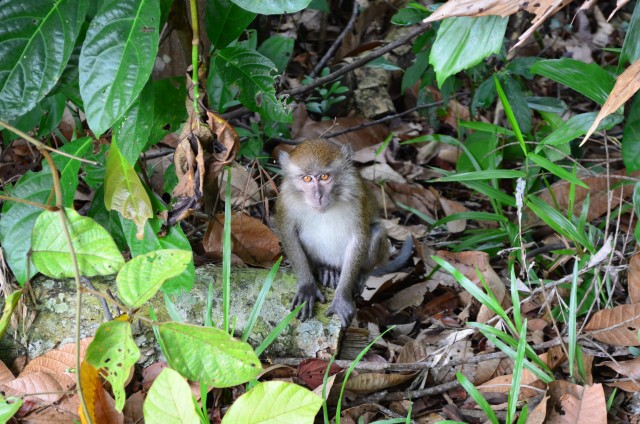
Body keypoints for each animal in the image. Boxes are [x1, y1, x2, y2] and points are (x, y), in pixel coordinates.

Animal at [276, 139, 410, 328]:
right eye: (307, 178)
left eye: (324, 177)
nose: (318, 196)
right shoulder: (286, 199)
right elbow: (288, 233)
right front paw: (307, 286)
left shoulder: (356, 196)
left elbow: (359, 238)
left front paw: (342, 297)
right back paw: (326, 268)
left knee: (376, 231)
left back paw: (360, 274)